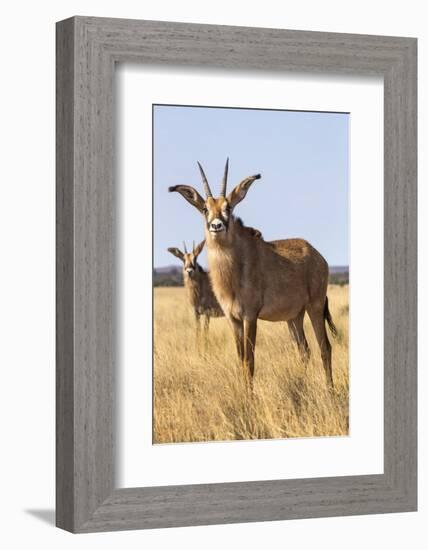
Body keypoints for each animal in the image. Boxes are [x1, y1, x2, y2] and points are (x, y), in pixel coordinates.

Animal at [169, 161, 340, 388]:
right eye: (205, 208)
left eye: (228, 207)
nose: (216, 225)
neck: (234, 269)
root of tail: (317, 255)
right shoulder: (232, 319)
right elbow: (240, 358)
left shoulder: (250, 316)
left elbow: (249, 361)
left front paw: (249, 395)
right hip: (294, 317)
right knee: (304, 350)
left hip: (315, 306)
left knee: (324, 347)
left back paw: (330, 390)